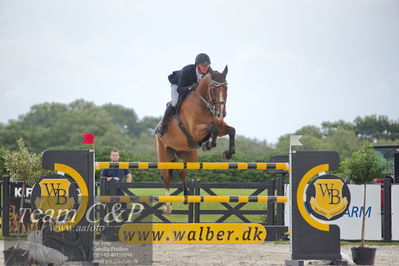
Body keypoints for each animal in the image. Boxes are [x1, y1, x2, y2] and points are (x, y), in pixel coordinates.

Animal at [155, 66, 238, 214]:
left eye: (226, 88)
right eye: (213, 89)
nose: (221, 113)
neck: (204, 103)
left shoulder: (218, 125)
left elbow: (229, 129)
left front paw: (227, 152)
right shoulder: (195, 131)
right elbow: (213, 127)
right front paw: (209, 144)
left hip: (190, 157)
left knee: (182, 173)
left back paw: (186, 196)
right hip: (164, 155)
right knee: (167, 178)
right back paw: (167, 206)